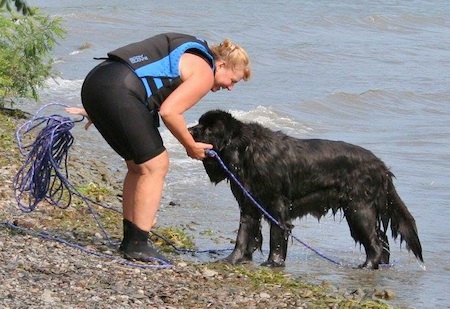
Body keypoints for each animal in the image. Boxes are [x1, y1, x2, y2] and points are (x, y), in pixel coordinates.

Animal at [188, 109, 424, 268]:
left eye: (208, 129)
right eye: (200, 124)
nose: (189, 129)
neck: (247, 150)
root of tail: (381, 166)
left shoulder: (277, 206)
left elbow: (276, 236)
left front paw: (273, 263)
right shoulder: (249, 205)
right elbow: (243, 235)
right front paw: (233, 259)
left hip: (359, 209)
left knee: (375, 241)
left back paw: (367, 265)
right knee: (381, 239)